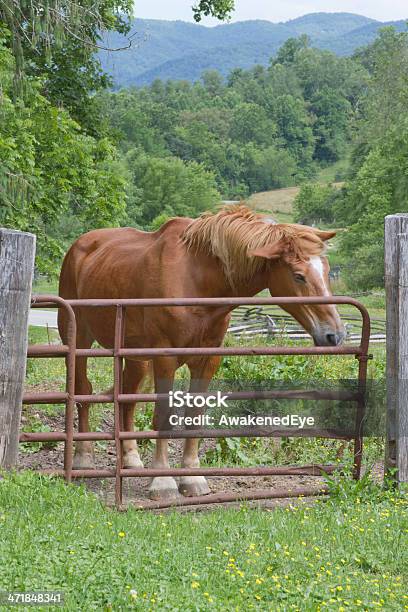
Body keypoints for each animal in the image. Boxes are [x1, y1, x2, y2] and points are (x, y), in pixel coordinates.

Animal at [58, 203, 344, 500]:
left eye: (326, 270)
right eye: (298, 275)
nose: (334, 334)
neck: (197, 282)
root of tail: (80, 245)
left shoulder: (207, 360)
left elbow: (194, 417)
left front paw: (192, 478)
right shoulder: (165, 358)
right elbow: (164, 416)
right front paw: (163, 481)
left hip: (136, 357)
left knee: (127, 398)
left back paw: (131, 459)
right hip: (79, 341)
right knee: (83, 390)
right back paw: (83, 458)